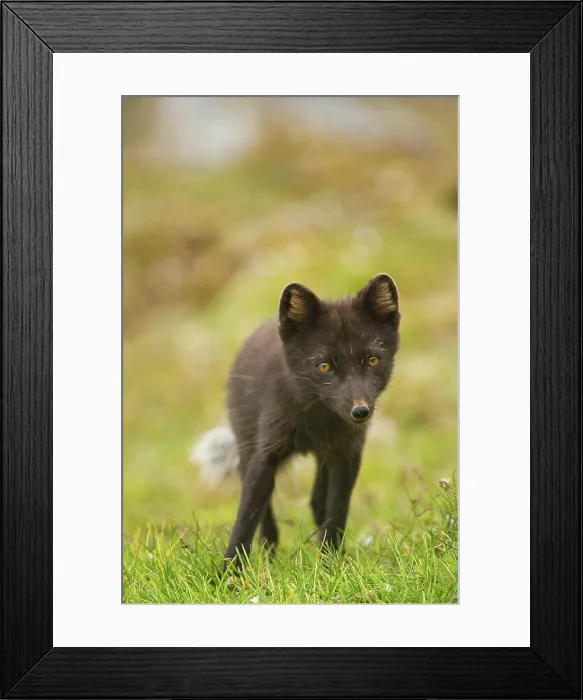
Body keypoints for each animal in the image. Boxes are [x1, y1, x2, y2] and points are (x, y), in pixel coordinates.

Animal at [193, 273, 401, 568]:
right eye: (324, 365)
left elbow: (336, 512)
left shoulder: (347, 455)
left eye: (372, 360)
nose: (361, 412)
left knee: (317, 501)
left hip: (325, 458)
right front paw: (230, 572)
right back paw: (269, 557)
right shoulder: (266, 453)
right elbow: (247, 515)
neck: (315, 421)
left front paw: (331, 563)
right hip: (246, 448)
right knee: (265, 512)